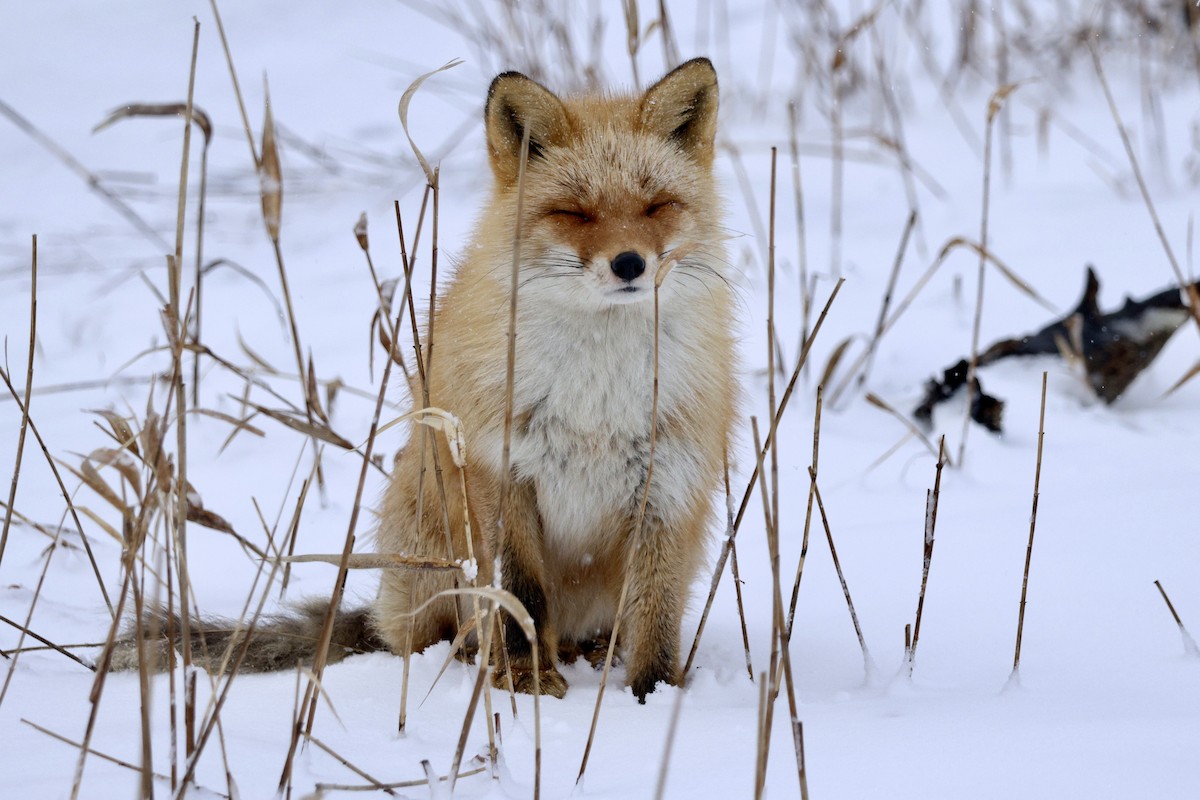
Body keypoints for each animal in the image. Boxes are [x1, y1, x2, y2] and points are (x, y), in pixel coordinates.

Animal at [113, 58, 736, 703]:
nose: (630, 264)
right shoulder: (500, 475)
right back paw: (472, 657)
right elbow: (519, 599)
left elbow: (655, 615)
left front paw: (653, 699)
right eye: (574, 212)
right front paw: (525, 681)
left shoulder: (667, 485)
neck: (597, 397)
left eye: (657, 205)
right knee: (425, 635)